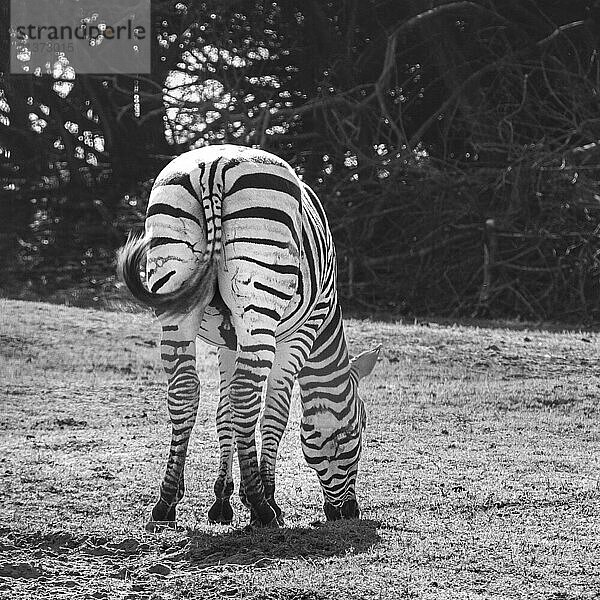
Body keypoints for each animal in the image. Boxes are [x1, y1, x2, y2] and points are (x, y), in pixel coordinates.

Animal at [117, 143, 380, 528]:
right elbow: (274, 413)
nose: (349, 512)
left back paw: (165, 504)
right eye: (356, 433)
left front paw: (222, 500)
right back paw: (261, 506)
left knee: (185, 392)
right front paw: (264, 498)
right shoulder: (300, 334)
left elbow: (223, 413)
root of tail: (213, 165)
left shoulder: (228, 342)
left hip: (176, 298)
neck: (326, 327)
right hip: (259, 304)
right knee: (245, 396)